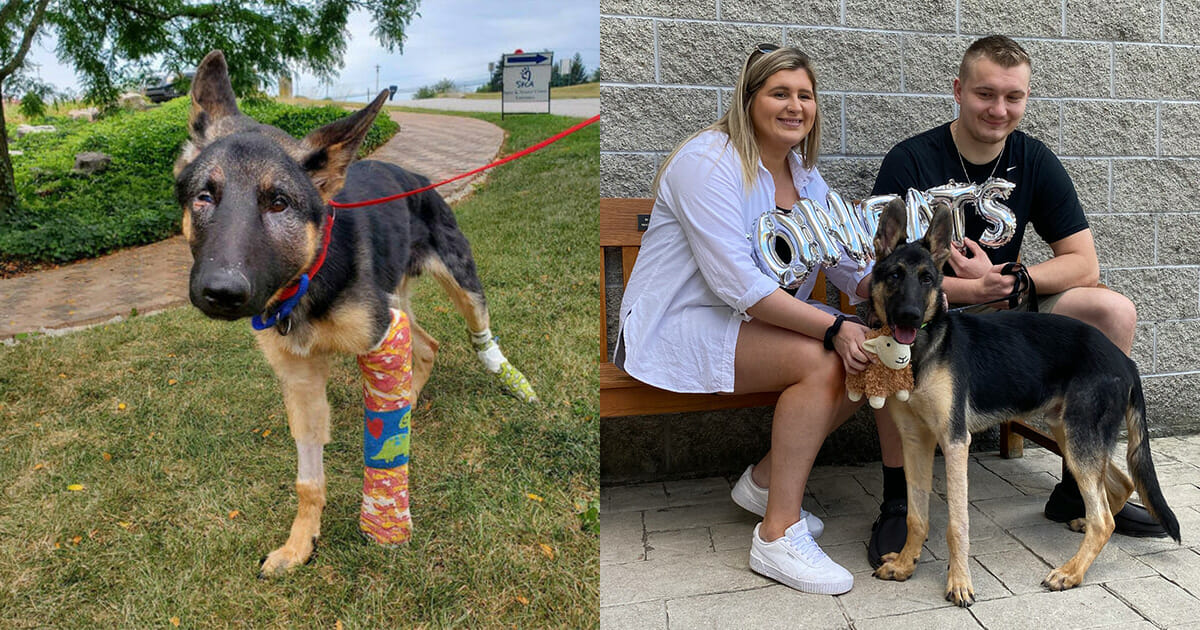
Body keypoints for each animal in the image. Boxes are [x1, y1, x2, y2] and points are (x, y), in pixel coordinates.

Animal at [174, 51, 535, 573]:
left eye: (279, 202)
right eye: (204, 196)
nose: (220, 292)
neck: (311, 274)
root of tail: (417, 178)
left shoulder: (380, 337)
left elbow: (382, 451)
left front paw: (385, 524)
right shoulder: (301, 378)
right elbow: (308, 479)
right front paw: (301, 542)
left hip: (460, 284)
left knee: (478, 335)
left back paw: (510, 381)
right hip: (396, 303)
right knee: (428, 346)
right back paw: (412, 397)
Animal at [868, 199, 1176, 602]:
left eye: (927, 279)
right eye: (894, 276)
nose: (909, 316)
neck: (925, 349)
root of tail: (1124, 360)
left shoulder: (954, 442)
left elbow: (957, 523)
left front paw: (959, 582)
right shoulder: (915, 441)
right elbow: (916, 515)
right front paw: (906, 564)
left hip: (1079, 437)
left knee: (1104, 519)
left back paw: (1071, 572)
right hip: (1069, 432)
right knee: (1121, 486)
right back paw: (1083, 527)